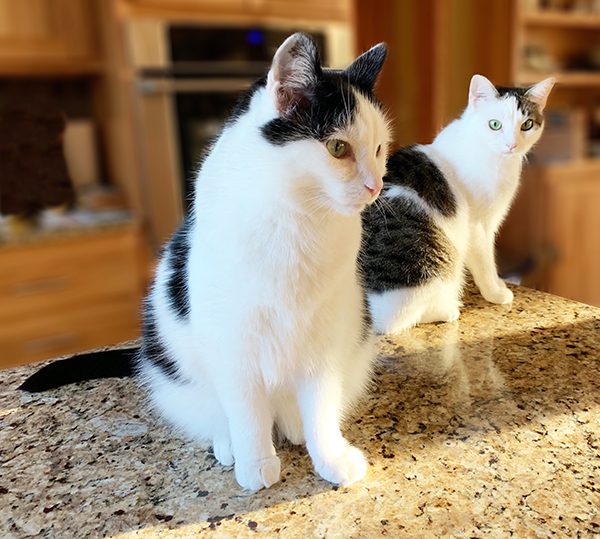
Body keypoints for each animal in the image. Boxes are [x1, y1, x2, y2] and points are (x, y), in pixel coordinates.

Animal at [19, 34, 394, 494]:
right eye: (338, 148)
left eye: (379, 148)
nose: (375, 185)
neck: (298, 221)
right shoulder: (233, 346)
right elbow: (246, 412)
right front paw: (255, 462)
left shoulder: (323, 339)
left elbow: (321, 408)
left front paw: (330, 457)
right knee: (218, 413)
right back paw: (230, 444)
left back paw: (293, 425)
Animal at [358, 71, 556, 334]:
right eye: (494, 124)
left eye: (527, 125)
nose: (512, 144)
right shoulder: (477, 226)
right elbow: (485, 263)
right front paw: (496, 293)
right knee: (397, 319)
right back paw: (449, 309)